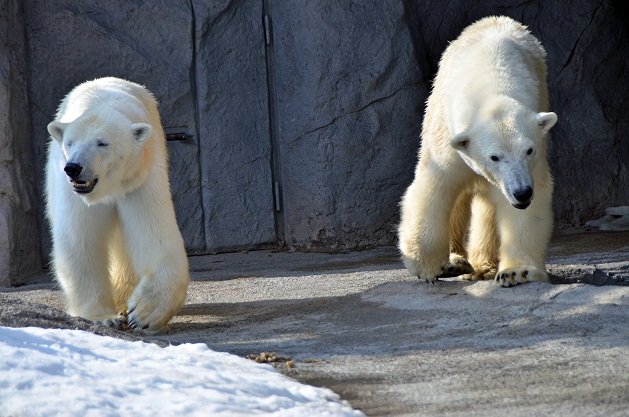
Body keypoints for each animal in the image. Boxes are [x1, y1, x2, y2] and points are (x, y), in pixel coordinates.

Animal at [46, 76, 189, 330]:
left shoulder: (138, 180)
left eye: (102, 143)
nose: (73, 168)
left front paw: (142, 314)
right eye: (70, 143)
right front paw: (104, 317)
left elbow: (154, 236)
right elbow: (81, 240)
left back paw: (123, 300)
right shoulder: (74, 194)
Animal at [400, 16, 556, 288]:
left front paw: (516, 272)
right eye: (495, 157)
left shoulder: (532, 160)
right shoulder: (449, 136)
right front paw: (424, 265)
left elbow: (530, 203)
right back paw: (455, 261)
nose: (522, 193)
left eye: (529, 150)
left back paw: (483, 266)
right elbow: (438, 184)